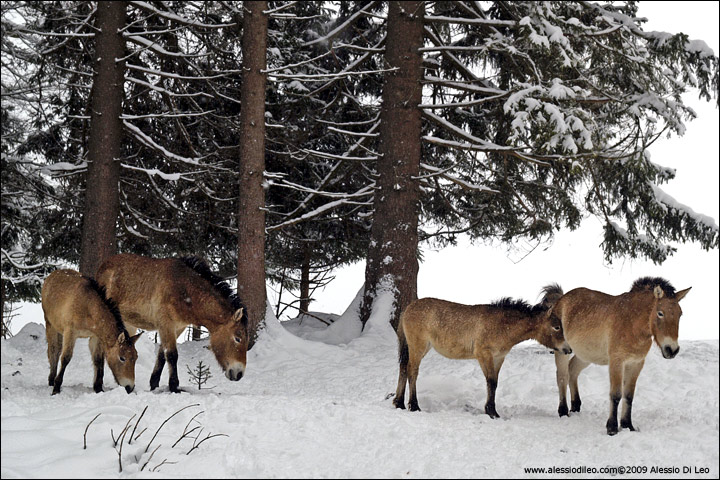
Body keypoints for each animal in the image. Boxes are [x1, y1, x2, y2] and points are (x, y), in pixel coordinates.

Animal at [95, 253, 248, 393]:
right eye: (237, 338)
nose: (239, 374)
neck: (184, 290)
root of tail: (102, 267)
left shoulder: (177, 328)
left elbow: (162, 355)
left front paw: (154, 384)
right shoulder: (166, 324)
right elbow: (172, 355)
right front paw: (174, 387)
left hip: (128, 324)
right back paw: (98, 386)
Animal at [393, 285, 571, 417]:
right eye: (556, 327)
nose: (568, 349)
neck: (502, 325)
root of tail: (407, 308)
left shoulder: (499, 357)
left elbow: (494, 383)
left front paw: (491, 410)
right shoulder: (484, 355)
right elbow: (490, 382)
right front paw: (492, 412)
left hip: (416, 347)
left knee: (403, 368)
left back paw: (399, 403)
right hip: (418, 347)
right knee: (412, 371)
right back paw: (414, 406)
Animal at [551, 277, 691, 435]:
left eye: (680, 314)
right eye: (660, 313)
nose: (672, 350)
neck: (631, 323)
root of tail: (562, 299)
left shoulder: (636, 363)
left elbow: (629, 396)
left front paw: (627, 425)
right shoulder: (617, 362)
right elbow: (616, 394)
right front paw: (612, 428)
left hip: (585, 355)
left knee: (573, 370)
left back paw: (575, 407)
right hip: (562, 350)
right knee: (562, 376)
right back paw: (563, 411)